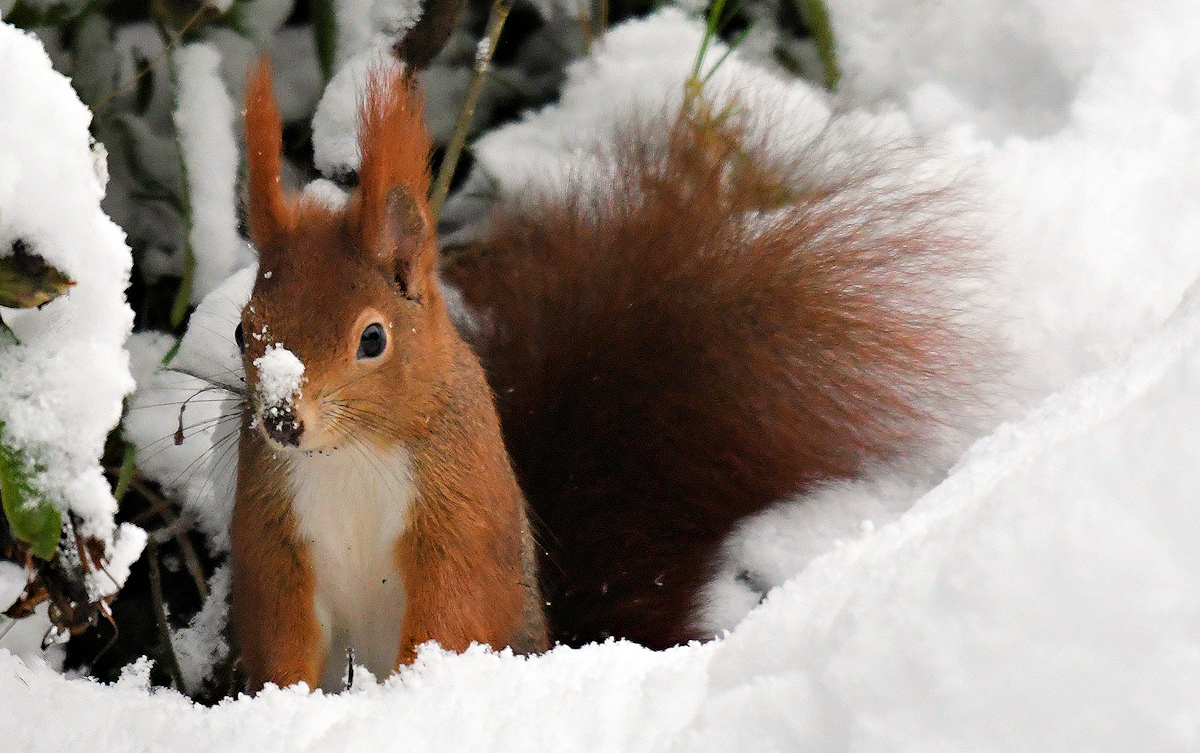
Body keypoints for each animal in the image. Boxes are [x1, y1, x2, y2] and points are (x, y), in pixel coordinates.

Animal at [230, 61, 549, 690]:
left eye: (373, 339)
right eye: (240, 331)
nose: (281, 419)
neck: (351, 451)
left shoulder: (461, 509)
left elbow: (453, 612)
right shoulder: (272, 536)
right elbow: (283, 629)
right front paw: (287, 697)